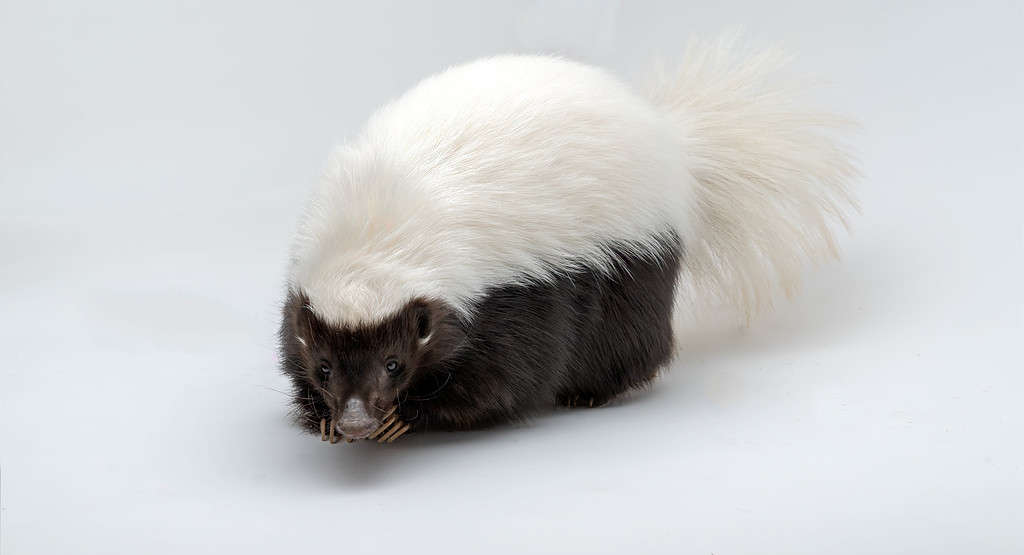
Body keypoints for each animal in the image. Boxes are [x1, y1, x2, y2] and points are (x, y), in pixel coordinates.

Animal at [278, 36, 856, 442]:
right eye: (325, 367)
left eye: (394, 364)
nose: (356, 421)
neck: (382, 226)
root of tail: (673, 143)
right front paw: (318, 415)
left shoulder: (516, 299)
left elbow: (507, 379)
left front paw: (406, 418)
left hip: (631, 261)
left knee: (632, 338)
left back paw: (592, 396)